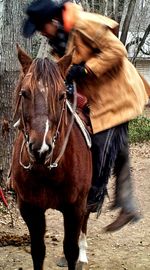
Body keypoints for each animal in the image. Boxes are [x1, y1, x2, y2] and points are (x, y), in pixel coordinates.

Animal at [11, 44, 91, 270]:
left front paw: (77, 255)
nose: (41, 149)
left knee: (86, 218)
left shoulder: (74, 208)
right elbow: (38, 252)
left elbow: (71, 250)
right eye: (24, 93)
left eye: (61, 96)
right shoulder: (30, 209)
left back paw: (83, 254)